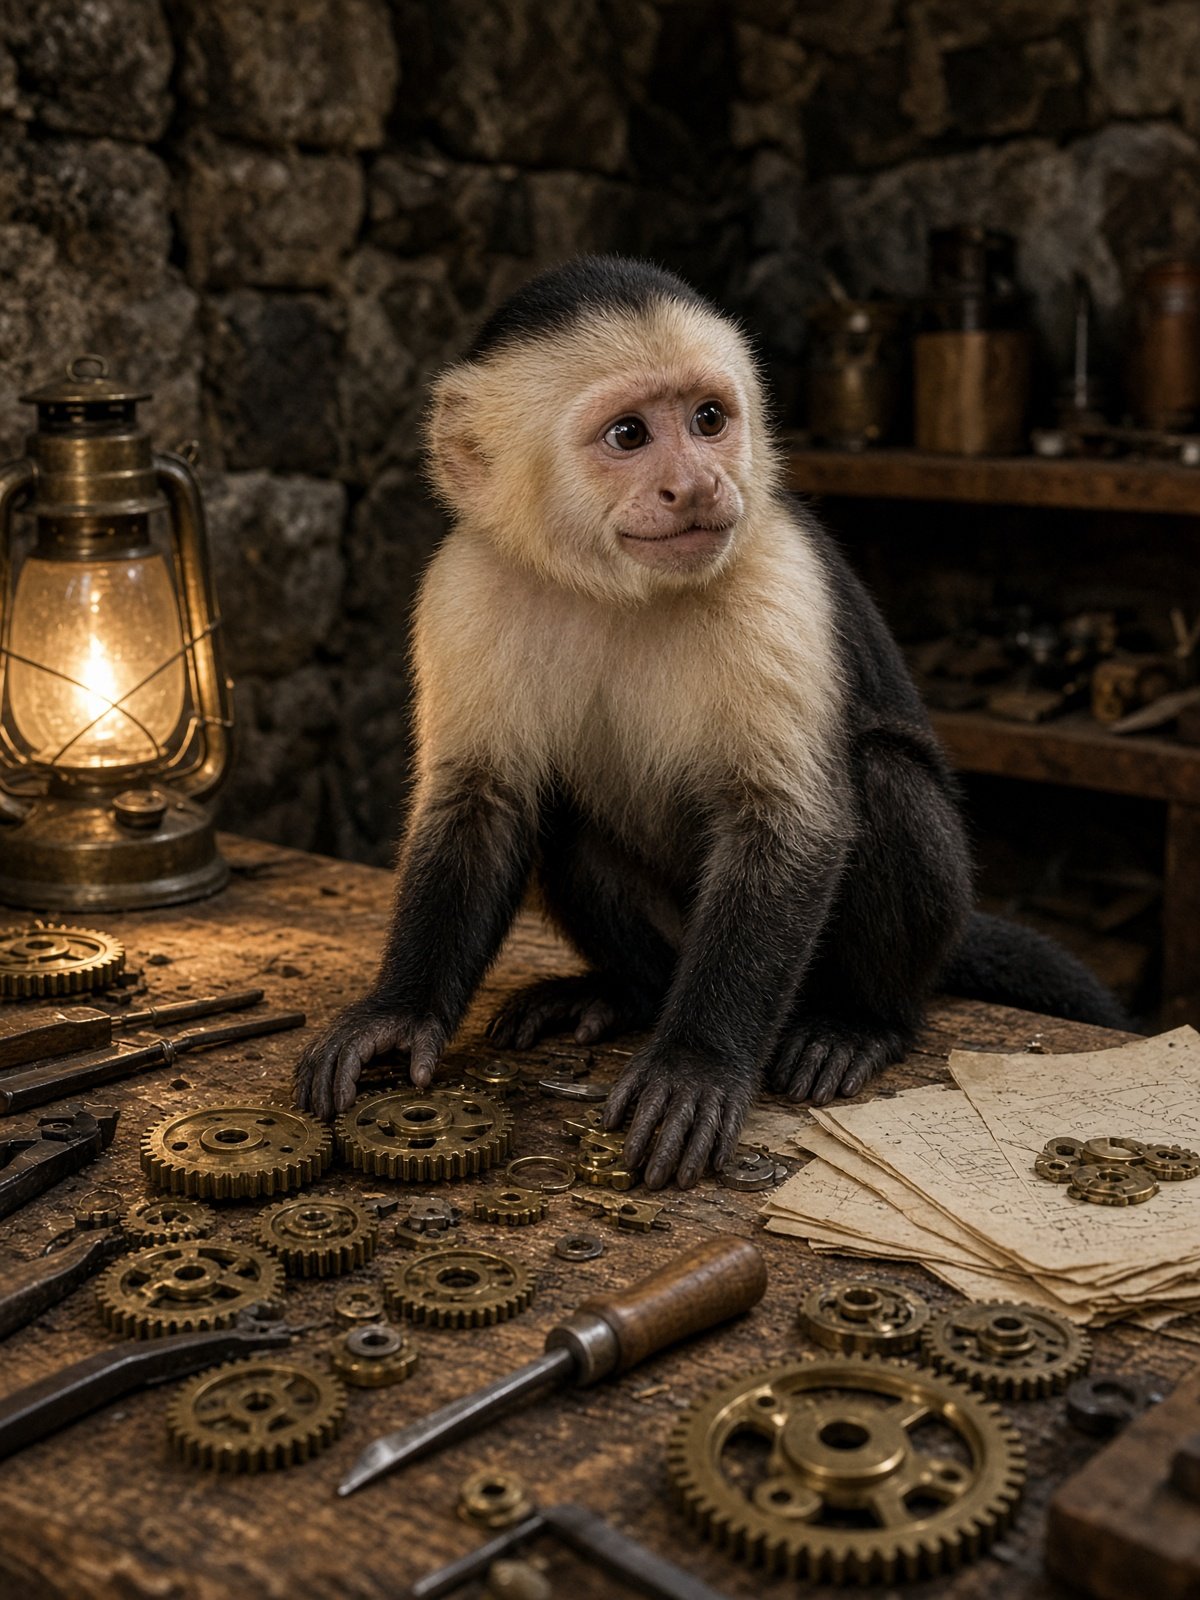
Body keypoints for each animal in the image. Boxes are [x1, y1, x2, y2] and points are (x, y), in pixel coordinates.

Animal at [293, 254, 1127, 1189]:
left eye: (708, 419)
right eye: (628, 435)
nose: (695, 484)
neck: (615, 586)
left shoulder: (776, 574)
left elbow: (789, 823)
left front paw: (695, 1066)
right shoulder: (466, 583)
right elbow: (479, 805)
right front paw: (398, 1013)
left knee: (886, 779)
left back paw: (859, 1021)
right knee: (564, 820)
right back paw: (620, 993)